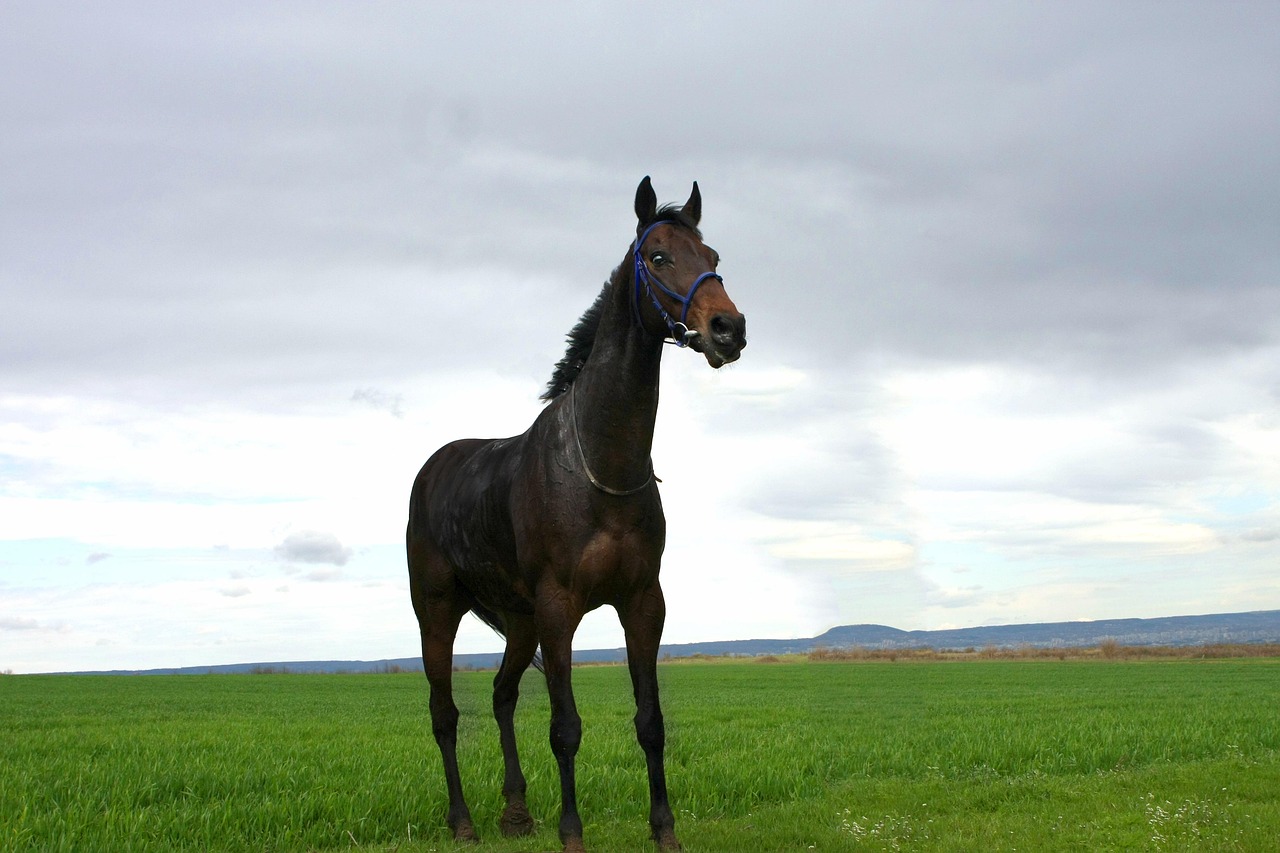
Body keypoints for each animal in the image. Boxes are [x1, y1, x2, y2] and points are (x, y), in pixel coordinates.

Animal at [409, 175, 747, 845]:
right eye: (658, 256)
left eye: (714, 256)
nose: (729, 327)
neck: (600, 464)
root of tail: (430, 470)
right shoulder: (559, 607)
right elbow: (565, 728)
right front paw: (572, 833)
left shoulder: (642, 602)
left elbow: (650, 722)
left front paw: (664, 832)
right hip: (437, 611)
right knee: (445, 713)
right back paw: (463, 822)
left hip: (518, 621)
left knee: (502, 694)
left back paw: (516, 813)